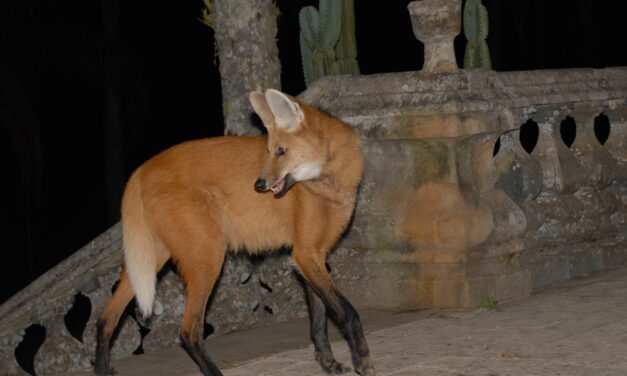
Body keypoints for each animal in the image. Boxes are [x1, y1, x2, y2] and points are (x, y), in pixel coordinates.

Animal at [95, 90, 376, 376]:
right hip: (208, 258)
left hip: (152, 260)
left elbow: (319, 321)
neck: (326, 185)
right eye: (270, 152)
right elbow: (348, 313)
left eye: (280, 151)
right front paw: (363, 362)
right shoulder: (306, 255)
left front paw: (329, 364)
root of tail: (140, 170)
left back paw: (103, 369)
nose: (259, 185)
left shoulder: (311, 256)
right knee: (188, 332)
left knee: (105, 319)